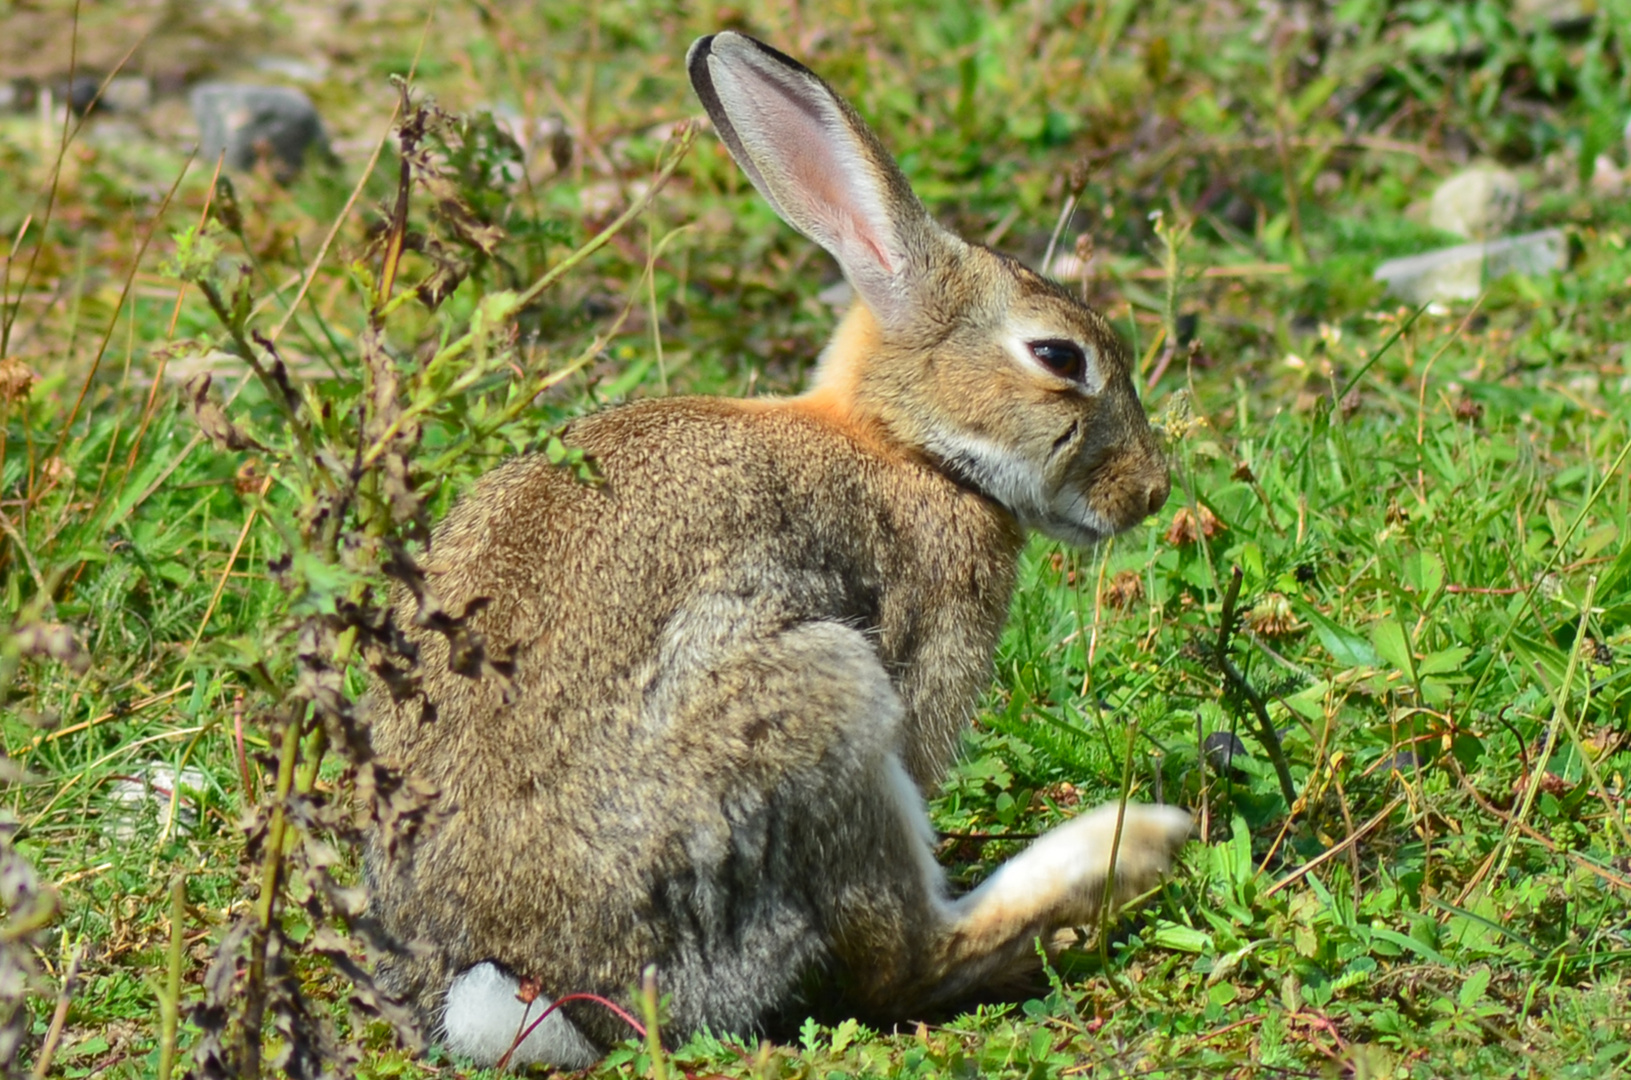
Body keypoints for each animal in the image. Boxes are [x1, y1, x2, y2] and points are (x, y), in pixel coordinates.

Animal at [363, 29, 1193, 1070]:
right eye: (1057, 357)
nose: (1149, 491)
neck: (903, 443)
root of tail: (523, 985)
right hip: (817, 704)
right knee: (907, 961)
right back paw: (1129, 848)